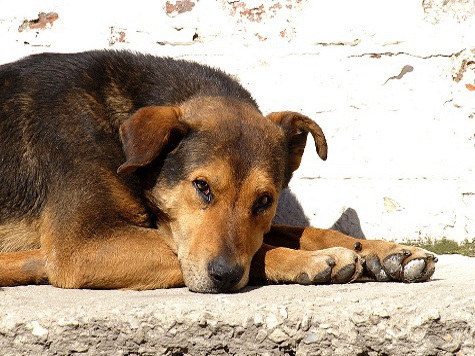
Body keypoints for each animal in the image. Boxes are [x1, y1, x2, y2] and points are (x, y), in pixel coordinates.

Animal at [0, 51, 436, 294]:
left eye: (264, 201)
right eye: (202, 186)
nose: (225, 276)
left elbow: (303, 231)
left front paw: (386, 252)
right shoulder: (81, 246)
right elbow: (261, 249)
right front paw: (312, 261)